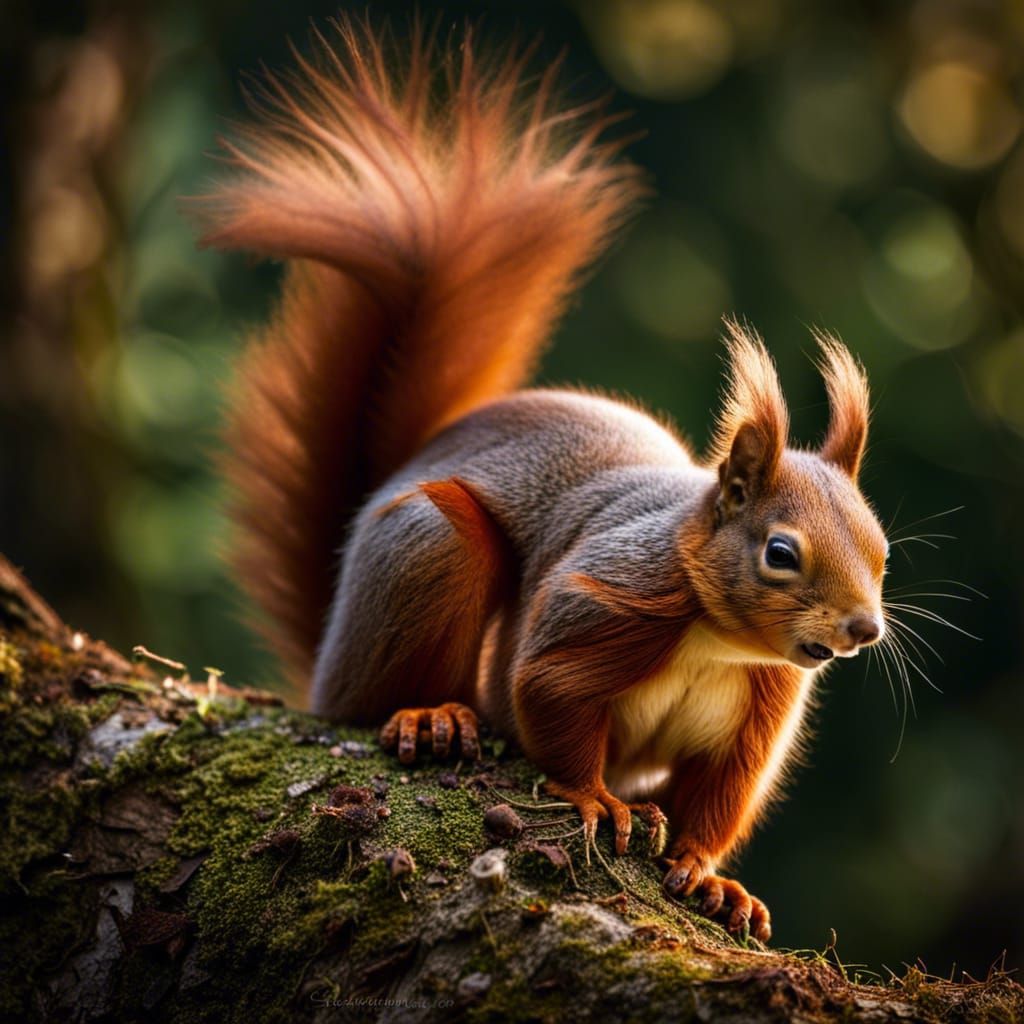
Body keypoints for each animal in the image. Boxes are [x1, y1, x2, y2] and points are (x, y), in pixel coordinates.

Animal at [194, 18, 889, 943]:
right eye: (781, 553)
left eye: (882, 552)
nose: (863, 628)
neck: (717, 640)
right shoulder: (610, 599)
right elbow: (547, 691)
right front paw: (595, 800)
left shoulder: (760, 705)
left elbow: (721, 797)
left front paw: (713, 879)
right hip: (429, 545)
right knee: (373, 696)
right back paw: (429, 714)